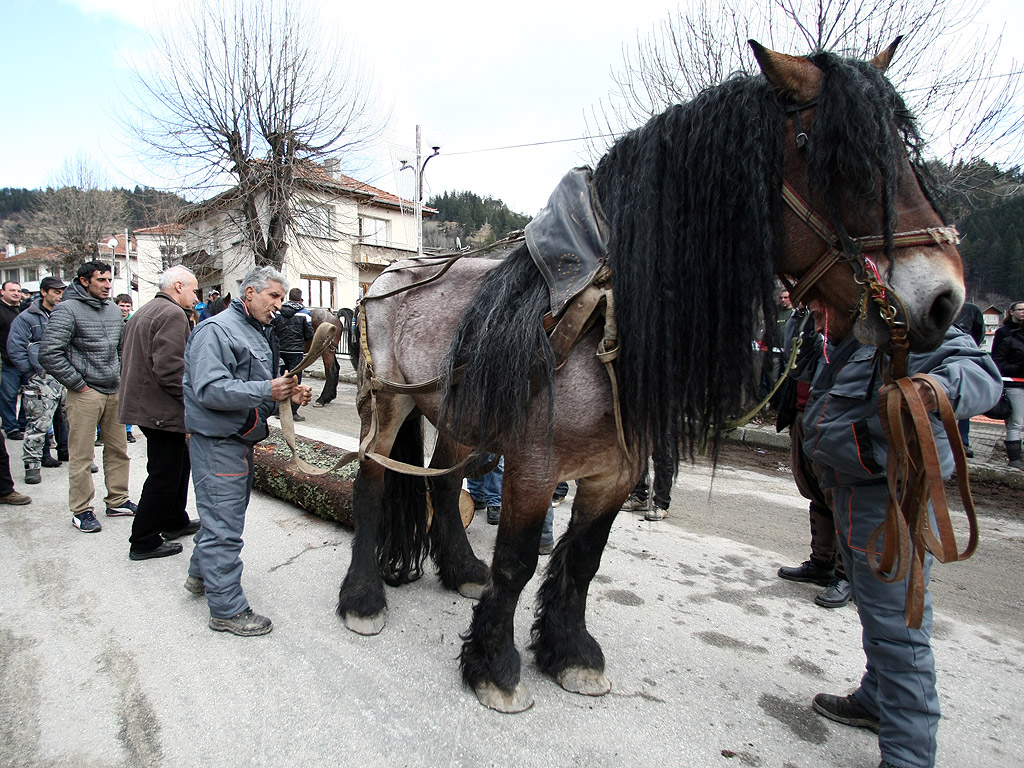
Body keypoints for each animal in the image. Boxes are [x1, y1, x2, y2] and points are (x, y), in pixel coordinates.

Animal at [337, 40, 966, 716]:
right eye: (840, 161)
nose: (945, 300)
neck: (604, 313)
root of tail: (385, 277)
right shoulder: (535, 468)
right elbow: (516, 562)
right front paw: (495, 666)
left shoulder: (616, 471)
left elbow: (584, 561)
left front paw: (570, 653)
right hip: (387, 408)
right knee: (372, 484)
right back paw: (362, 598)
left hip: (459, 415)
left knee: (444, 481)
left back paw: (458, 570)